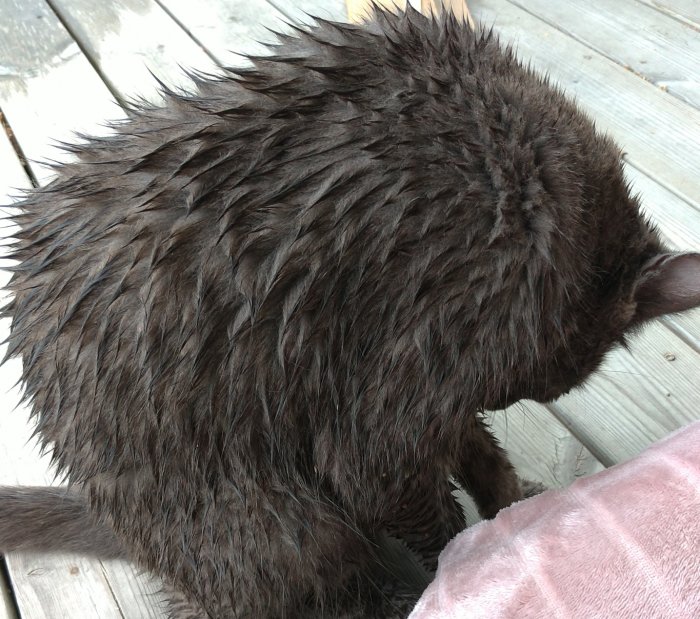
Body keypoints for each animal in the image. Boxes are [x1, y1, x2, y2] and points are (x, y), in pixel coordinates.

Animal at [1, 6, 700, 619]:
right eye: (546, 383)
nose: (506, 398)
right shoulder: (420, 359)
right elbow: (414, 501)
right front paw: (470, 563)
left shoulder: (442, 384)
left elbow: (473, 448)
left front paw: (510, 501)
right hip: (280, 524)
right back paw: (388, 599)